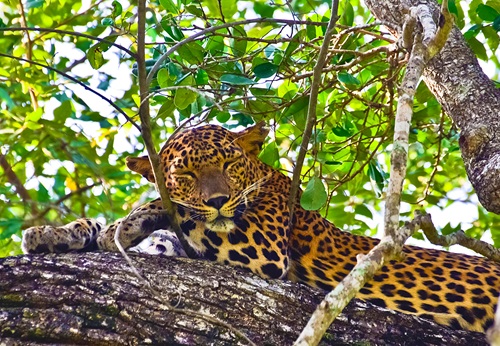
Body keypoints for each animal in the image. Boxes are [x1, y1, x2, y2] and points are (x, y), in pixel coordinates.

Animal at [21, 121, 500, 332]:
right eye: (187, 174)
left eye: (229, 164)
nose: (218, 201)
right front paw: (54, 234)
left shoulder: (261, 246)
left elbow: (174, 213)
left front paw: (130, 220)